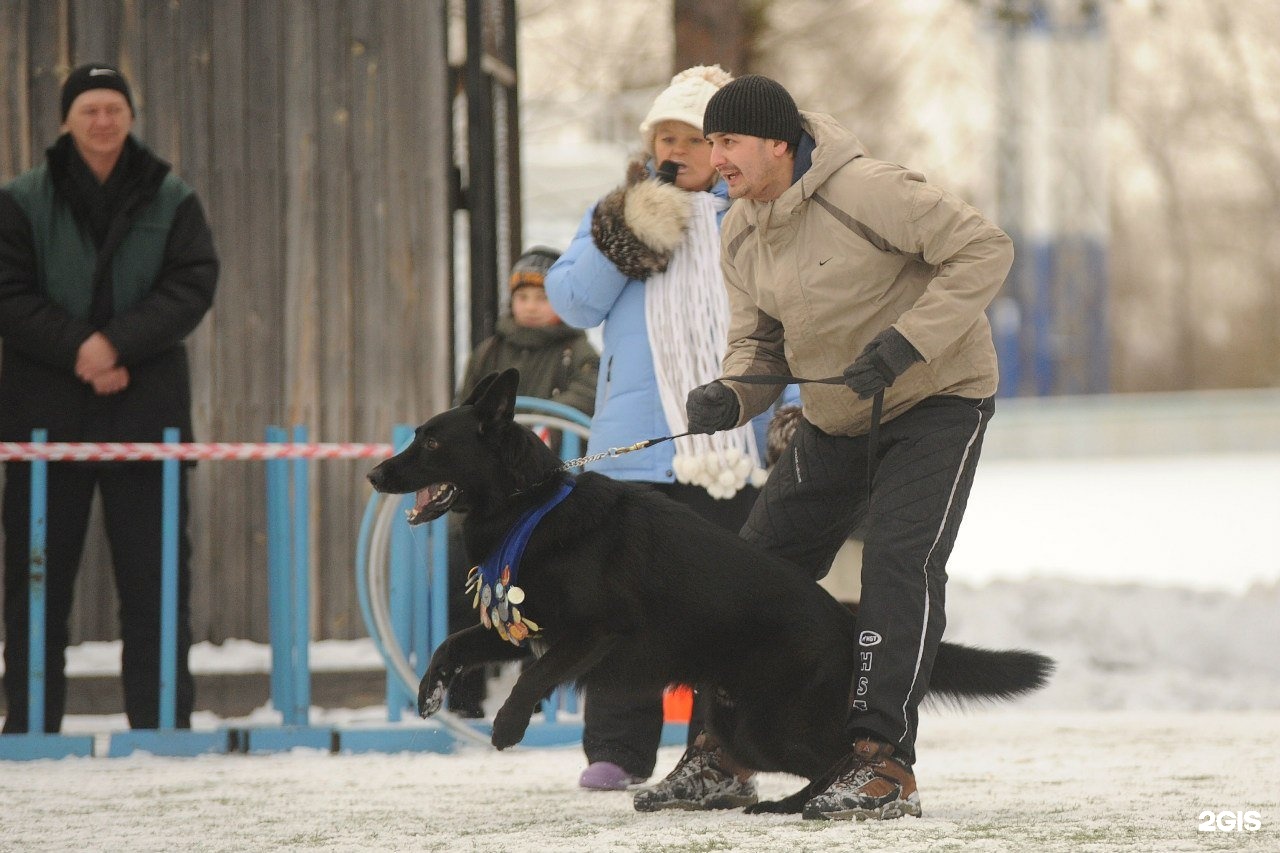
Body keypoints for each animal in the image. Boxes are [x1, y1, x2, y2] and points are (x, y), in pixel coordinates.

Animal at [368, 371, 1049, 809]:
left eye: (432, 440)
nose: (374, 473)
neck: (529, 505)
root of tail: (846, 622)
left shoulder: (592, 634)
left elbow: (533, 676)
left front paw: (507, 726)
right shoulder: (526, 628)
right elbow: (453, 645)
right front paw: (429, 692)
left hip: (772, 723)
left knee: (853, 754)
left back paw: (840, 795)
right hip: (744, 721)